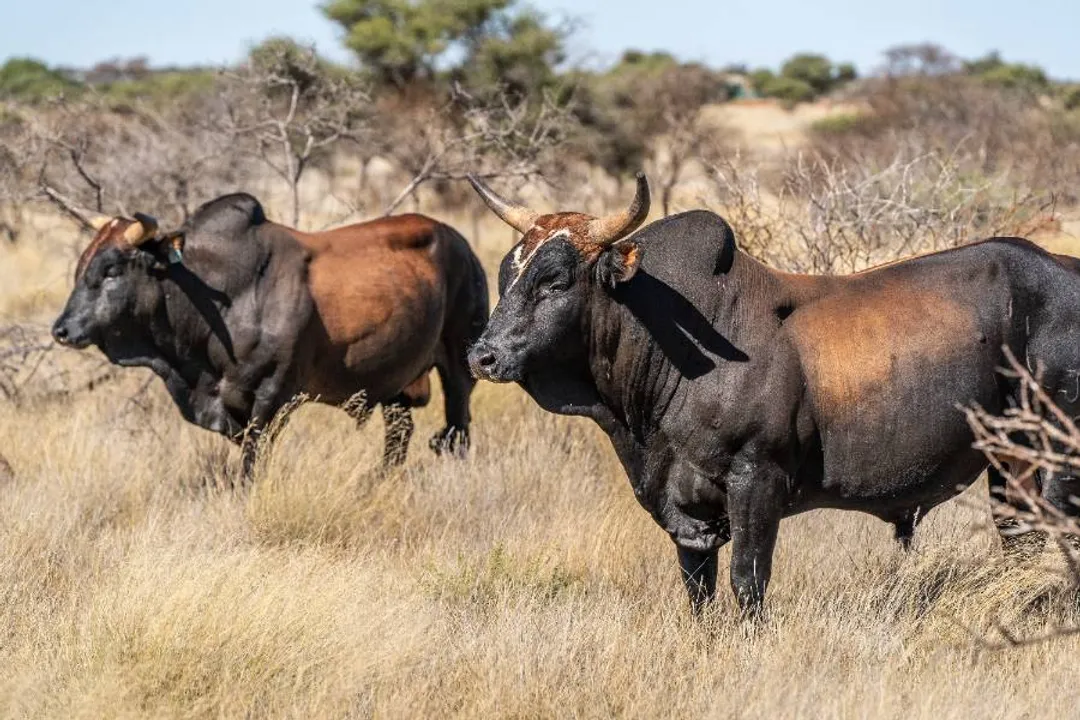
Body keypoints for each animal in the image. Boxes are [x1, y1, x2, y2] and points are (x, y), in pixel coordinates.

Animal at [52, 193, 489, 472]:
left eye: (111, 269)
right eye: (82, 264)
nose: (62, 330)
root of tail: (461, 244)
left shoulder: (271, 398)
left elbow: (252, 465)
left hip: (459, 368)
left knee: (457, 432)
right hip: (396, 385)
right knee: (399, 437)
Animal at [465, 172, 1080, 615]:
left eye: (555, 282)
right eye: (506, 275)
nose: (482, 356)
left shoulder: (756, 482)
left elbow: (748, 583)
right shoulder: (687, 511)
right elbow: (699, 593)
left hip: (1059, 458)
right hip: (1009, 462)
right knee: (1020, 537)